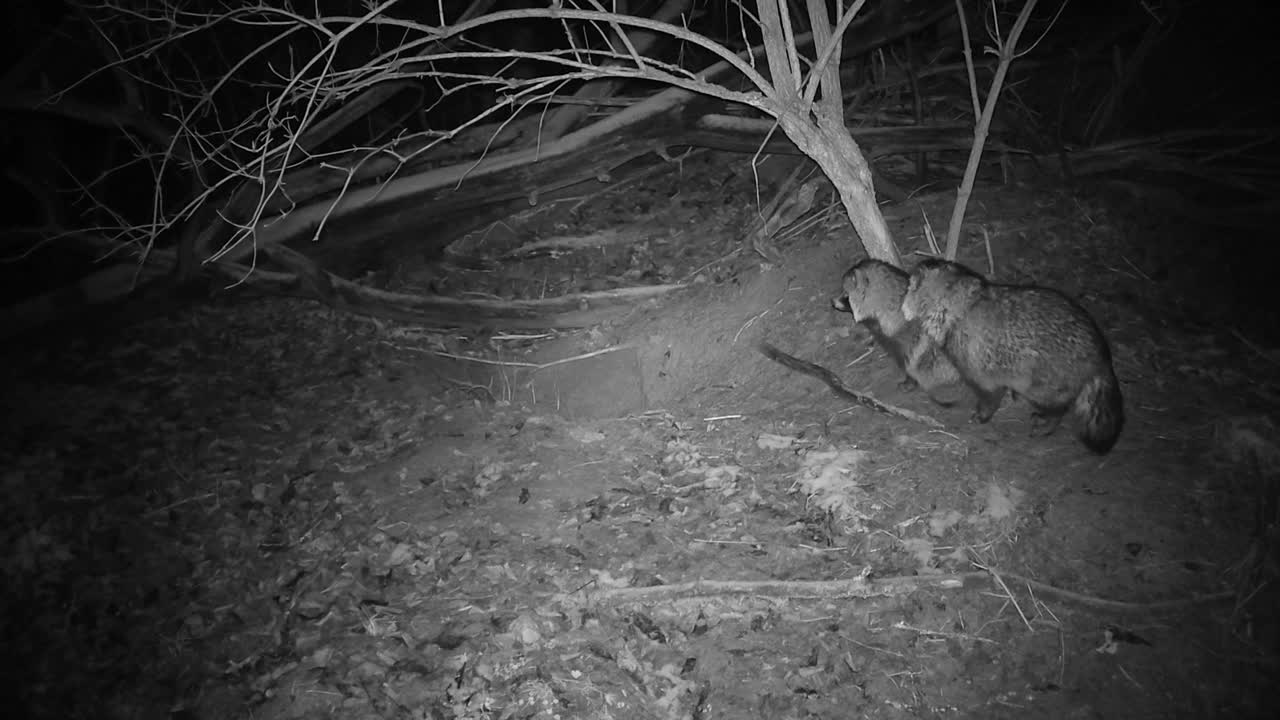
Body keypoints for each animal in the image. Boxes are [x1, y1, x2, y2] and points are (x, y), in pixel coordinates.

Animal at [901, 254, 1121, 450]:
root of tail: (1101, 357)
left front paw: (982, 415)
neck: (956, 306)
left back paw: (1046, 424)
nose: (903, 307)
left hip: (1045, 384)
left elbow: (991, 395)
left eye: (911, 286)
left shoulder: (976, 365)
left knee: (1058, 407)